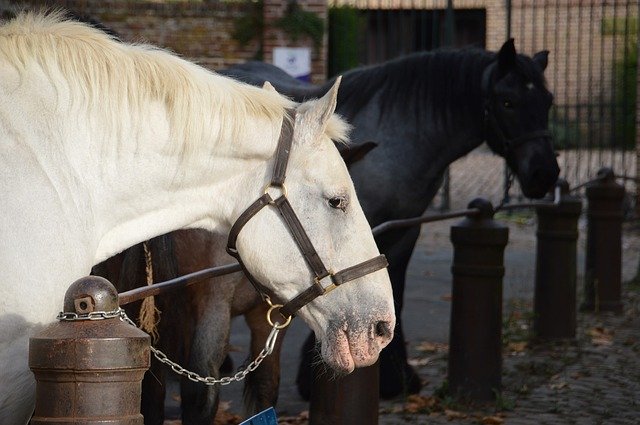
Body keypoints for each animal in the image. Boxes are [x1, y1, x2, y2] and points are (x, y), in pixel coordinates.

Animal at [221, 38, 560, 400]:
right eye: (508, 102)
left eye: (548, 101)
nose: (544, 174)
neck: (398, 138)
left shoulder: (404, 229)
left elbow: (393, 285)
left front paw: (396, 377)